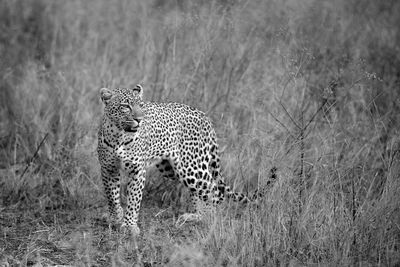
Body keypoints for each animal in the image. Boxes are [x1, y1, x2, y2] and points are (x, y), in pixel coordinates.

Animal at [97, 85, 278, 236]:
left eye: (141, 105)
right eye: (125, 106)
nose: (139, 119)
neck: (119, 135)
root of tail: (204, 116)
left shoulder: (137, 170)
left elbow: (133, 199)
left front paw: (130, 226)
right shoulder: (107, 169)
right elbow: (112, 196)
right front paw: (116, 217)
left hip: (190, 166)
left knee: (214, 190)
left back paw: (207, 218)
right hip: (172, 169)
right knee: (200, 192)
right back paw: (195, 216)